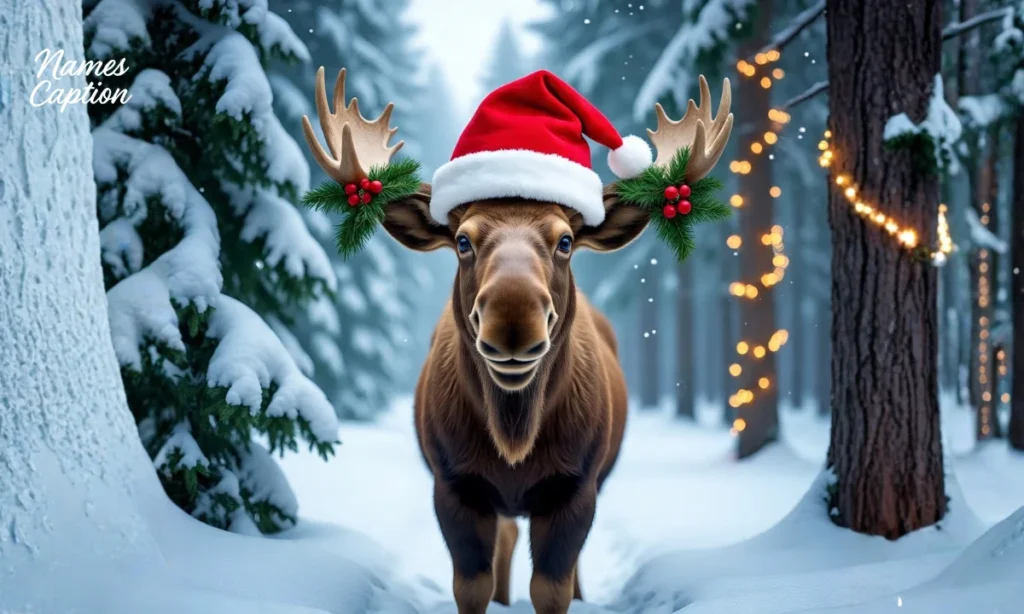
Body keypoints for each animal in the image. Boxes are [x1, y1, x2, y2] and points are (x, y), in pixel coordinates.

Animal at [302, 67, 732, 614]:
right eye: (462, 240)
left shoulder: (576, 487)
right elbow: (472, 585)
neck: (514, 436)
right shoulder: (454, 484)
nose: (512, 318)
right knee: (507, 541)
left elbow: (553, 586)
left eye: (565, 241)